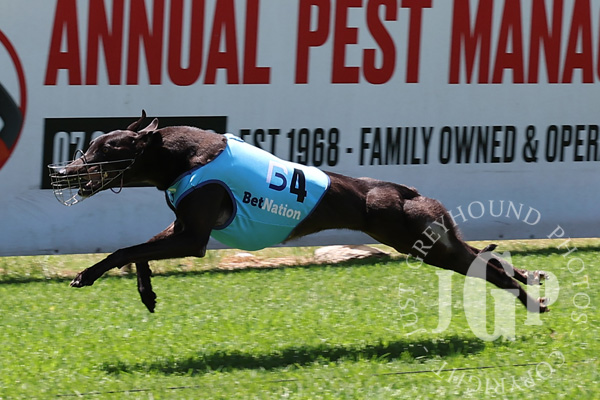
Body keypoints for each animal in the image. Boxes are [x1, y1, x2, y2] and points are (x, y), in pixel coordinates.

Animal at [49, 111, 549, 314]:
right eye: (88, 146)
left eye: (104, 150)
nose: (63, 171)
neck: (181, 156)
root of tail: (409, 191)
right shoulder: (182, 227)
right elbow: (138, 253)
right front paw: (147, 293)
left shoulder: (192, 239)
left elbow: (125, 250)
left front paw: (86, 275)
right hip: (434, 239)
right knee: (487, 258)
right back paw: (529, 279)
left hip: (420, 243)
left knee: (488, 270)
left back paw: (531, 301)